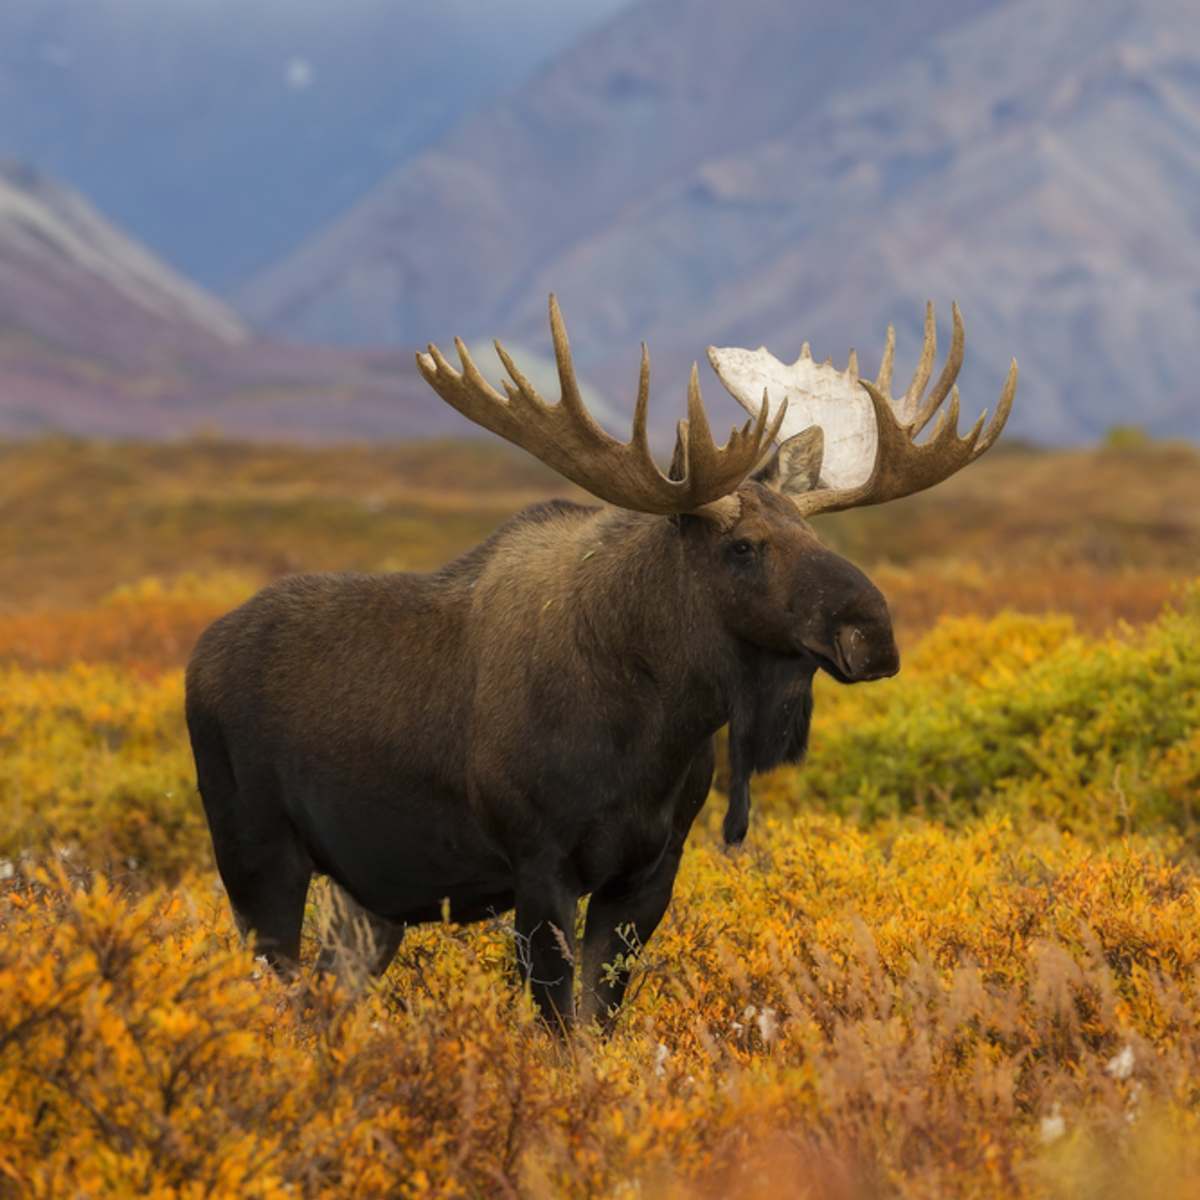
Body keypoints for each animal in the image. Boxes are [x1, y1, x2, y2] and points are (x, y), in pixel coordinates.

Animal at [185, 295, 1016, 1031]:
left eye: (815, 537)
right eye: (743, 546)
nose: (872, 634)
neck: (654, 727)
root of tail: (197, 658)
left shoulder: (648, 871)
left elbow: (600, 1018)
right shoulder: (539, 866)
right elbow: (562, 1029)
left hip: (368, 897)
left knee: (323, 1004)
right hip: (257, 857)